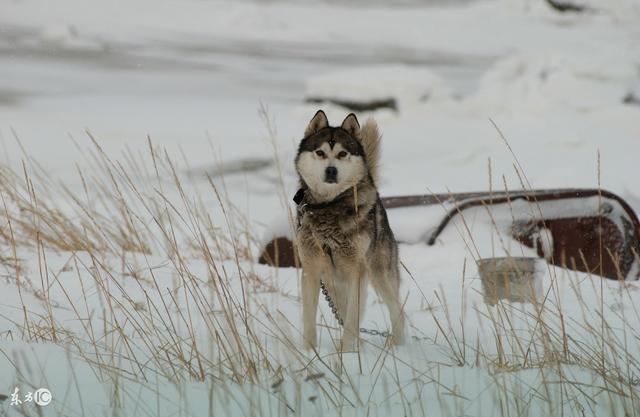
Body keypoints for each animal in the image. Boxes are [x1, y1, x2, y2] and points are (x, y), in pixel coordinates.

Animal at [294, 110, 404, 348]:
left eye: (342, 153)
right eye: (320, 153)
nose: (331, 170)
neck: (329, 206)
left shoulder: (357, 272)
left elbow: (353, 319)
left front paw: (347, 353)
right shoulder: (311, 271)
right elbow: (308, 318)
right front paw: (309, 351)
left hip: (380, 276)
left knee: (397, 311)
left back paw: (398, 344)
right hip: (334, 284)